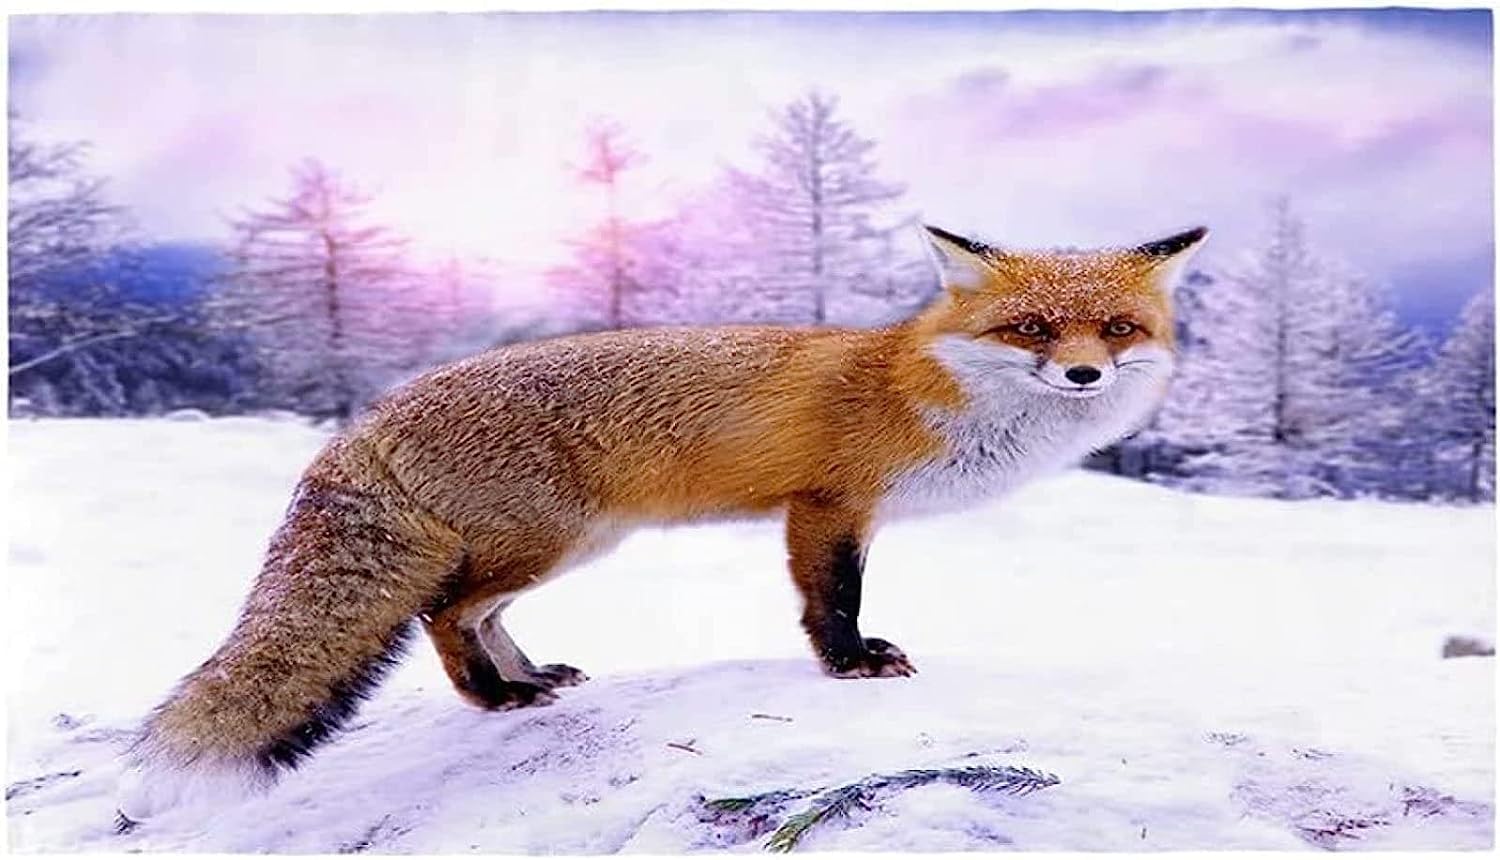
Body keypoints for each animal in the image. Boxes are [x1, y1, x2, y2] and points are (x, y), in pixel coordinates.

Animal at [116, 223, 1206, 825]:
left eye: (1116, 329)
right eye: (1032, 328)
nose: (1084, 374)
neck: (926, 386)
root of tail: (373, 413)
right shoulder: (828, 504)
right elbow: (833, 601)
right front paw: (850, 668)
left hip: (564, 547)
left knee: (476, 614)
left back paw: (527, 682)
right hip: (548, 542)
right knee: (442, 612)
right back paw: (494, 697)